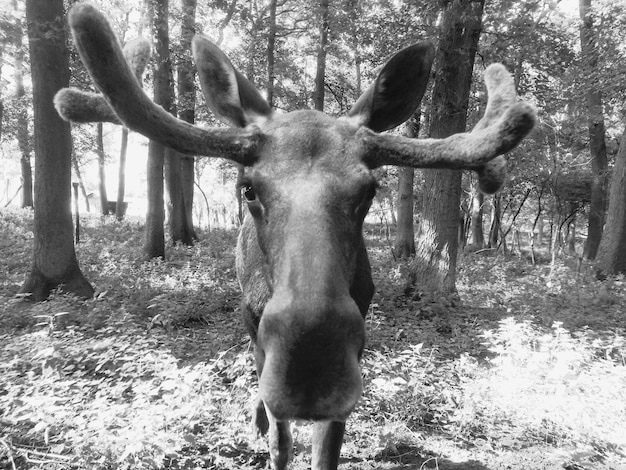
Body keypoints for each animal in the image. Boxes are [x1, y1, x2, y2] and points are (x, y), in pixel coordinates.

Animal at [54, 4, 532, 470]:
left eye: (369, 190)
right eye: (248, 188)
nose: (311, 364)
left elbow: (327, 450)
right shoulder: (256, 325)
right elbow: (280, 444)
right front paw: (267, 428)